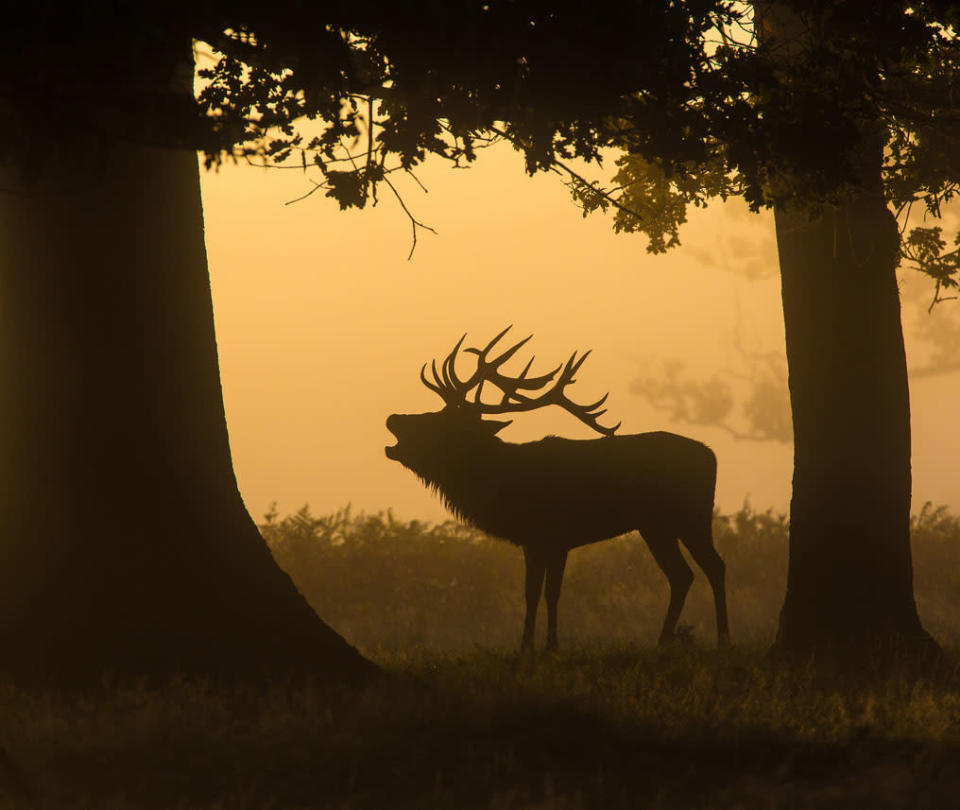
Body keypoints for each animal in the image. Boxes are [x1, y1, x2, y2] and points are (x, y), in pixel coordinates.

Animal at [382, 326, 728, 652]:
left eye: (440, 422)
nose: (393, 417)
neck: (500, 485)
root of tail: (711, 455)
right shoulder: (533, 540)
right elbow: (532, 591)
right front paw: (529, 645)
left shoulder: (557, 536)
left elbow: (550, 592)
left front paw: (547, 645)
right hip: (655, 526)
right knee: (682, 575)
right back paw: (663, 641)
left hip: (692, 516)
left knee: (714, 566)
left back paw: (723, 638)